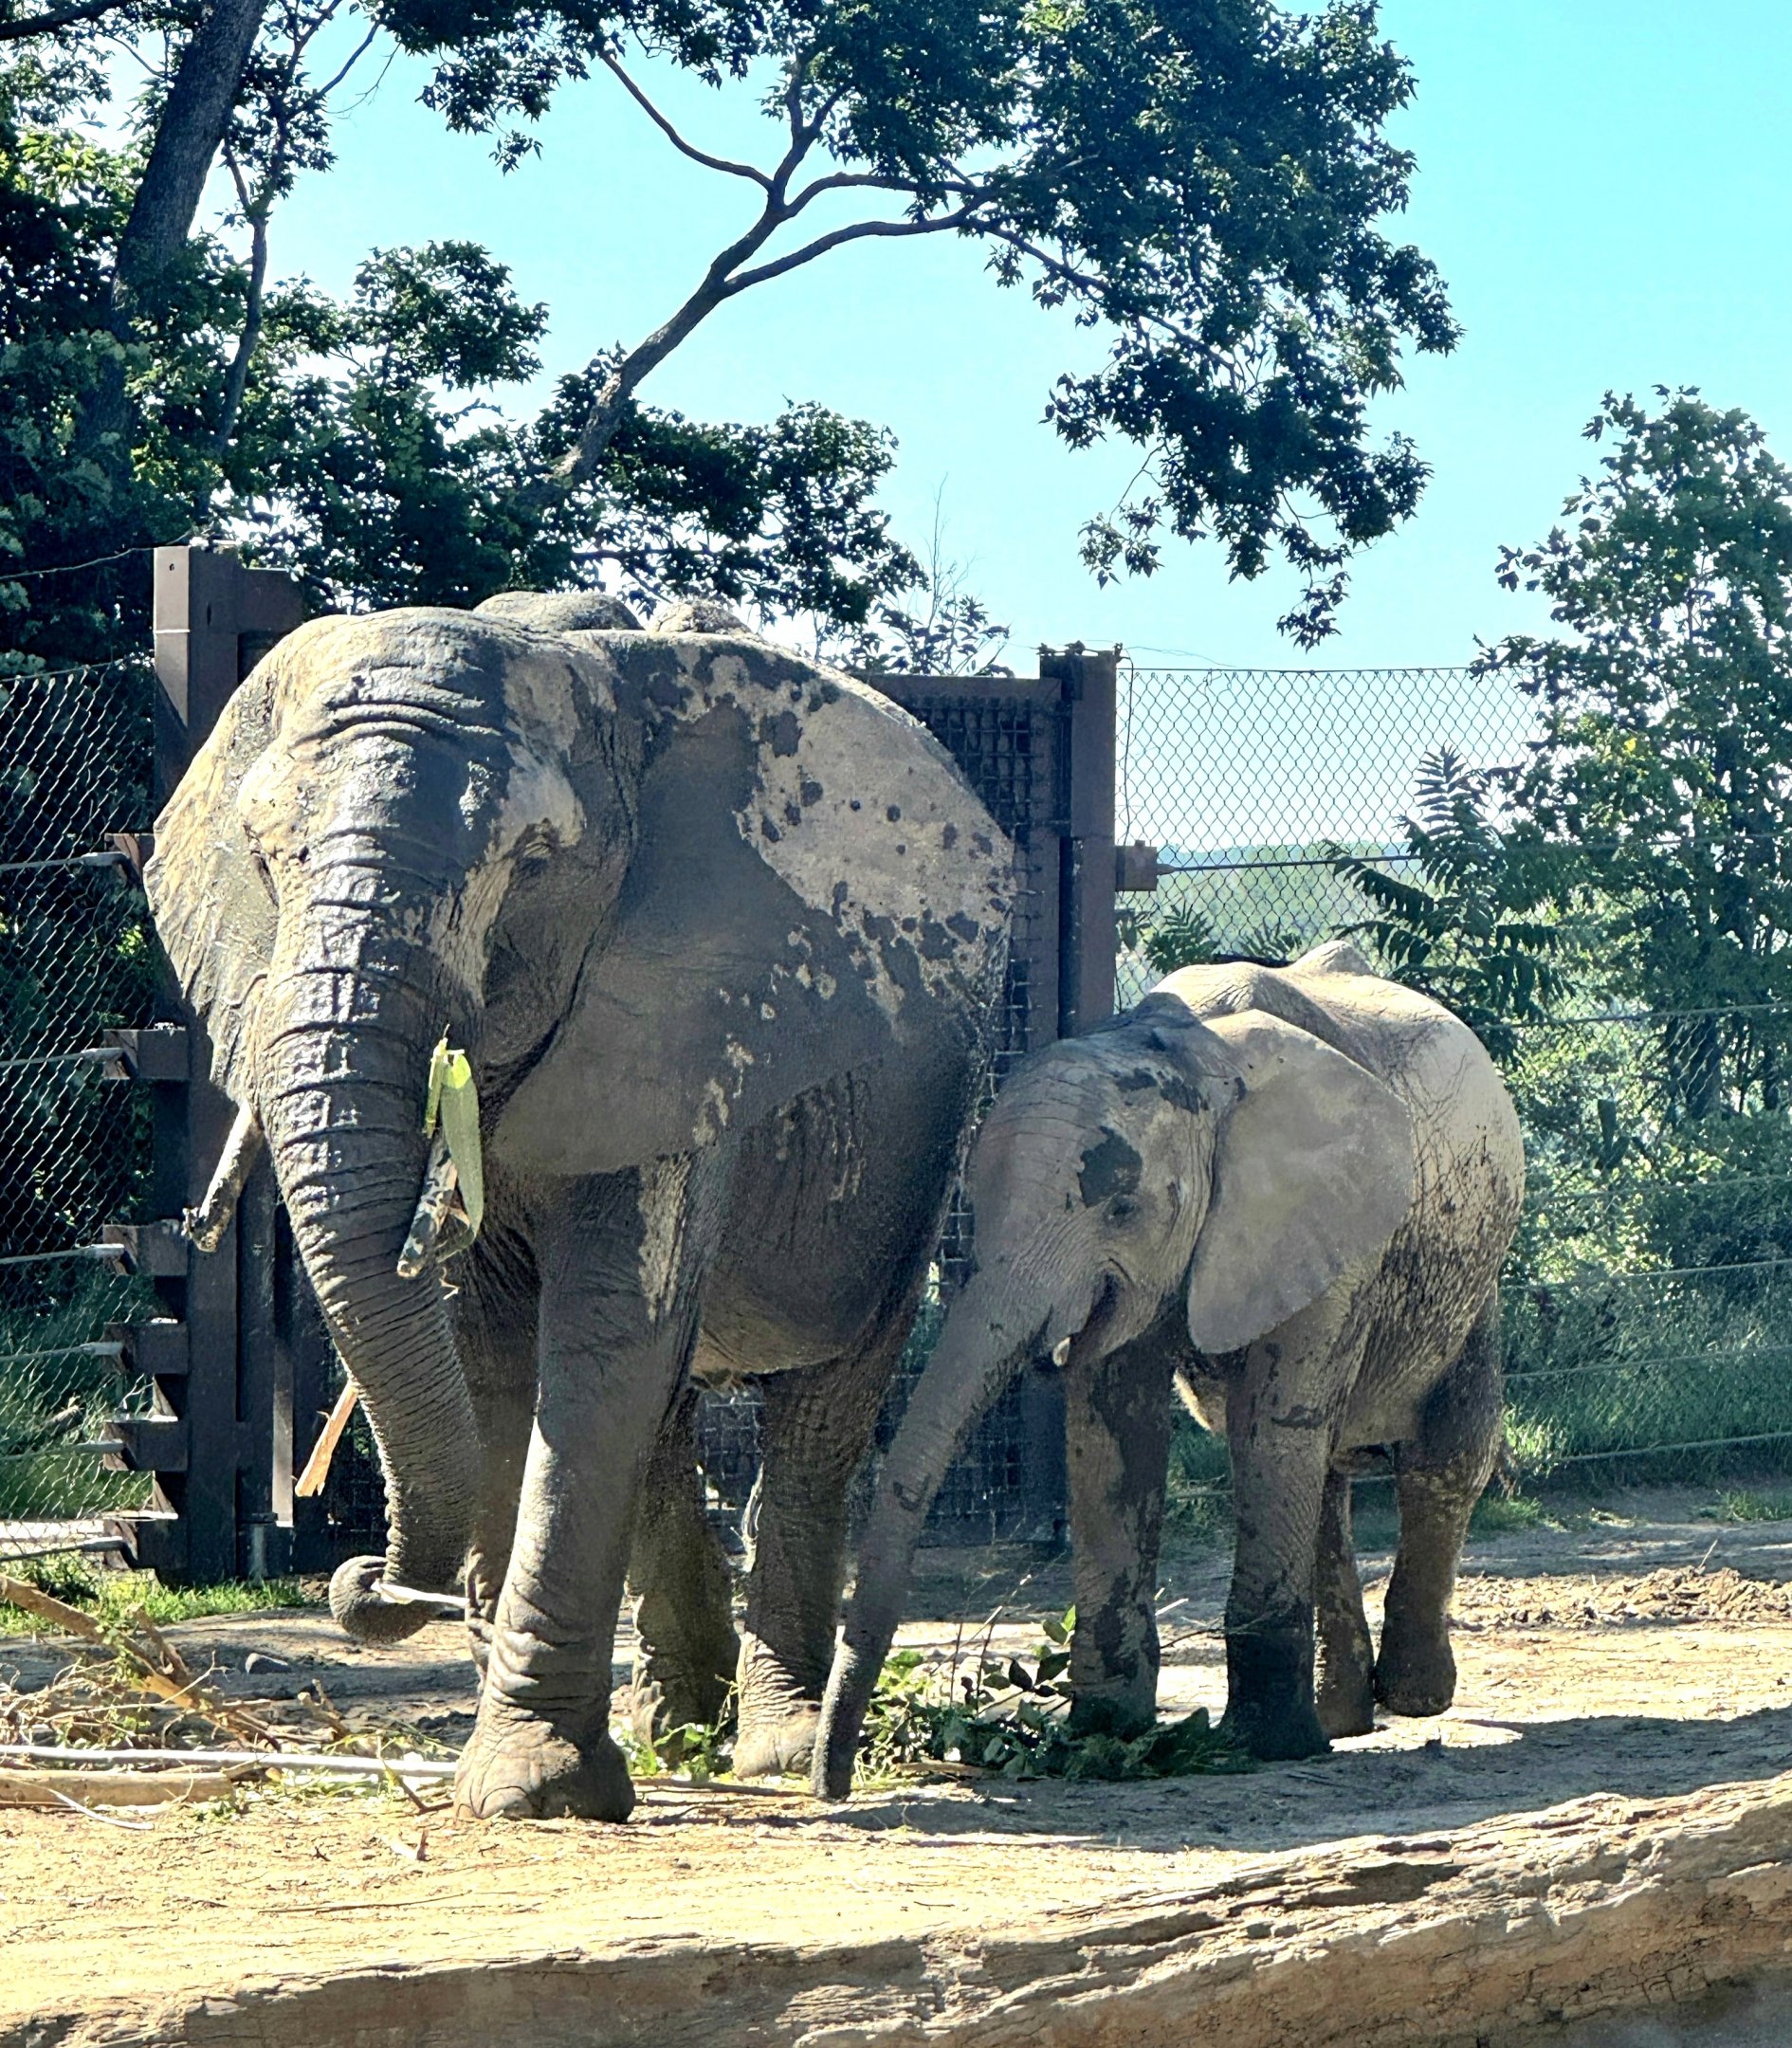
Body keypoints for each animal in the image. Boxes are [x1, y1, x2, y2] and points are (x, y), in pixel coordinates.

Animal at [145, 596, 1013, 1819]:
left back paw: (776, 1751)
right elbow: (495, 1352)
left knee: (821, 1404)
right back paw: (675, 1728)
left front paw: (532, 1791)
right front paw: (533, 1760)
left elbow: (602, 1338)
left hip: (923, 1135)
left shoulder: (688, 1017)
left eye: (535, 862)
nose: (369, 1582)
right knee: (668, 1414)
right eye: (266, 861)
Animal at [814, 940, 1524, 1795]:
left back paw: (1413, 1699)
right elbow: (1114, 1429)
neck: (1189, 1052)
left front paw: (1261, 1746)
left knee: (1438, 1454)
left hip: (1474, 1270)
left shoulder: (1328, 1218)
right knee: (1324, 1469)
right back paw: (1343, 1717)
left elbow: (1272, 1426)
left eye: (1123, 1210)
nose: (830, 1782)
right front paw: (1107, 1734)